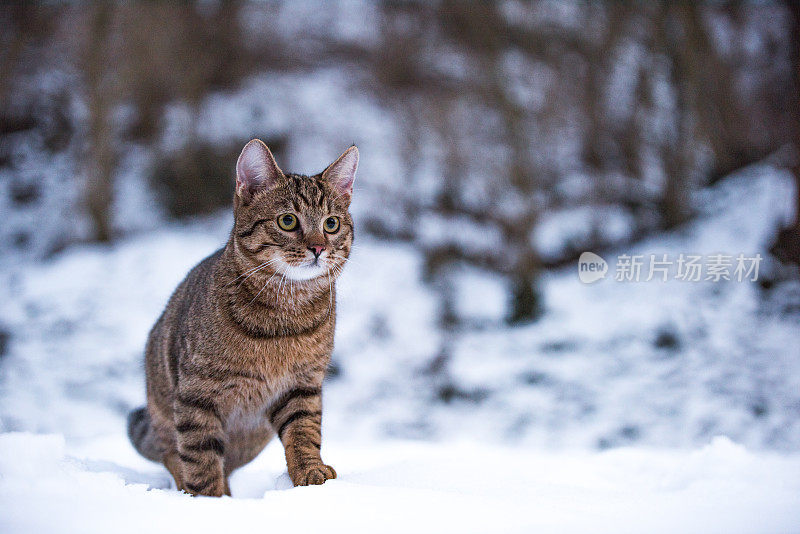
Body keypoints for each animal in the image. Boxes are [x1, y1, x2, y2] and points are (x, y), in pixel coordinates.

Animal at [127, 139, 356, 498]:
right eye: (287, 221)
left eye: (331, 224)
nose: (319, 247)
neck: (285, 313)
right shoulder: (197, 395)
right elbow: (201, 459)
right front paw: (211, 501)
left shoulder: (302, 384)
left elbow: (304, 432)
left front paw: (310, 471)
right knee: (175, 455)